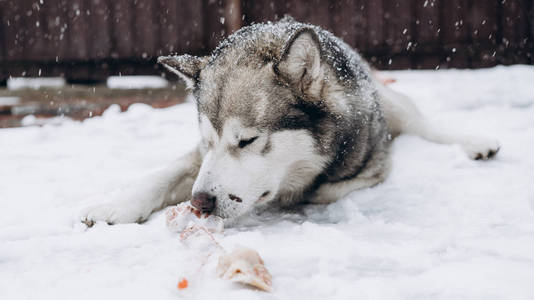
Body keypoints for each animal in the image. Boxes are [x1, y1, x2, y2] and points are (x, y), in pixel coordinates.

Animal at [80, 16, 502, 226]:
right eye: (207, 142)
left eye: (247, 141)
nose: (199, 203)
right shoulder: (198, 158)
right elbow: (163, 174)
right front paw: (116, 205)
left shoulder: (372, 167)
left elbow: (321, 190)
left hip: (393, 104)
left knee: (421, 122)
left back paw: (475, 142)